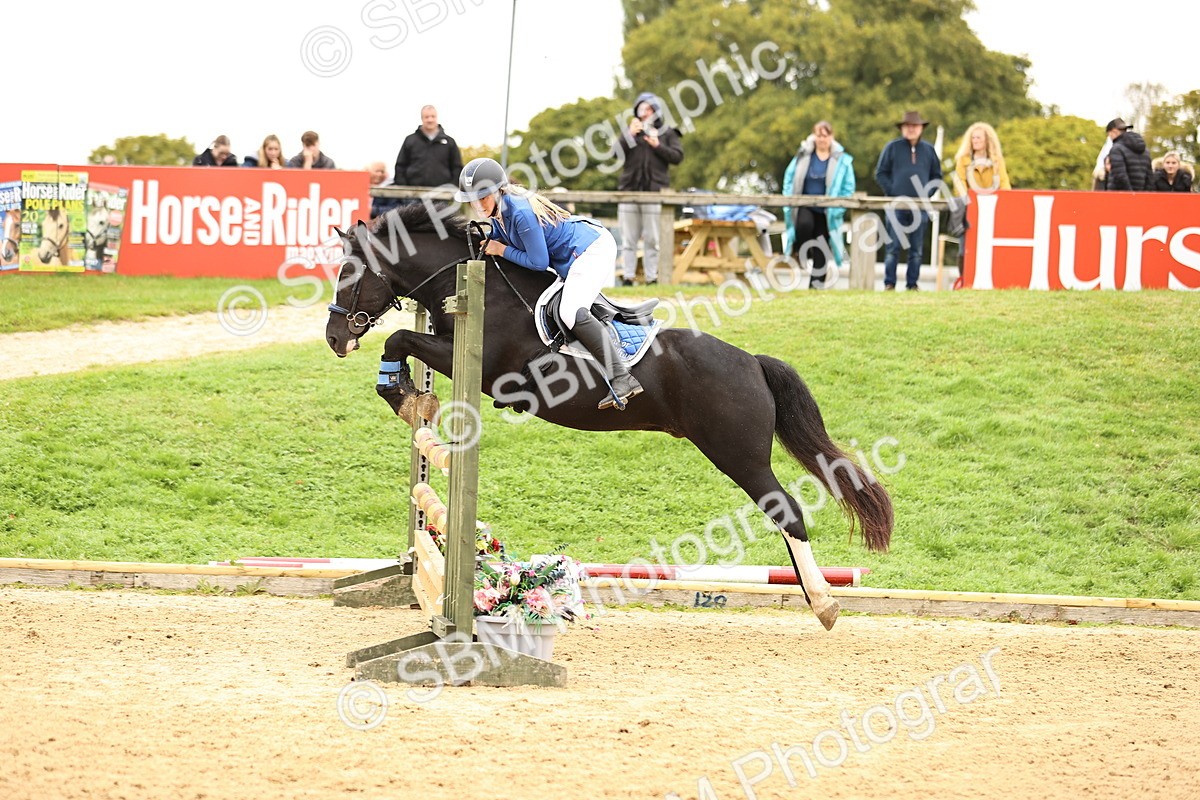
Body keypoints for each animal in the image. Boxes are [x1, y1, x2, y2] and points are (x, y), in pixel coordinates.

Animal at [324, 203, 893, 630]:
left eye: (349, 276)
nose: (333, 338)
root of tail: (752, 362)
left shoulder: (483, 366)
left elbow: (399, 337)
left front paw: (404, 397)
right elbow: (401, 344)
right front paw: (409, 396)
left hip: (739, 455)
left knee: (788, 513)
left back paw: (823, 604)